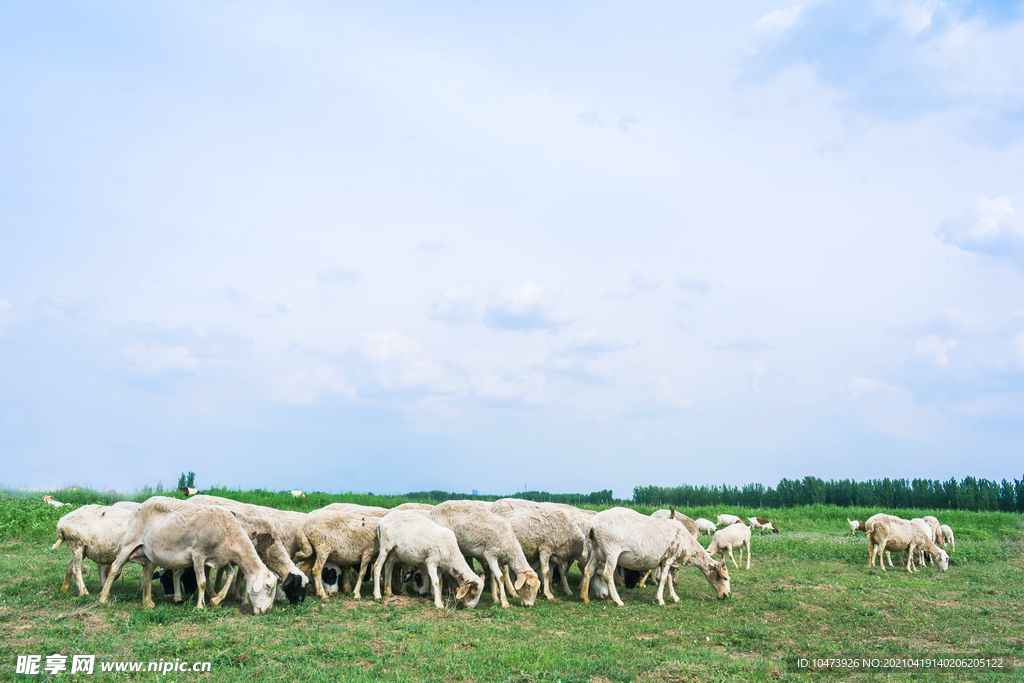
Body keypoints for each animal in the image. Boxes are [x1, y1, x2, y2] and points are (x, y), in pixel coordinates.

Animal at [97, 493, 278, 610]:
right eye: (268, 586)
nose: (267, 610)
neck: (227, 531)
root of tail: (140, 505)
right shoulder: (198, 555)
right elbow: (202, 582)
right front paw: (201, 606)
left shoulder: (220, 558)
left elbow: (231, 575)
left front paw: (216, 600)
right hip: (130, 542)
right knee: (115, 567)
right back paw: (103, 598)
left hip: (151, 552)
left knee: (147, 573)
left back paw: (148, 602)